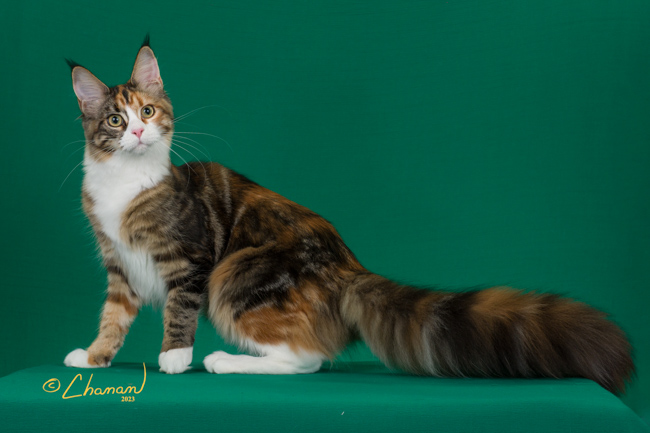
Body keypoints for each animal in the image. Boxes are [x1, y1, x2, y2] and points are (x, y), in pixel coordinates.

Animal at [64, 37, 634, 393]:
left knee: (307, 358)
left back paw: (224, 361)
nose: (139, 132)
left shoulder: (191, 261)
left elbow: (178, 311)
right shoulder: (119, 268)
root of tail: (349, 268)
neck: (124, 183)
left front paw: (174, 357)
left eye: (148, 112)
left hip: (233, 276)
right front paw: (93, 357)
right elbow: (112, 318)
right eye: (115, 121)